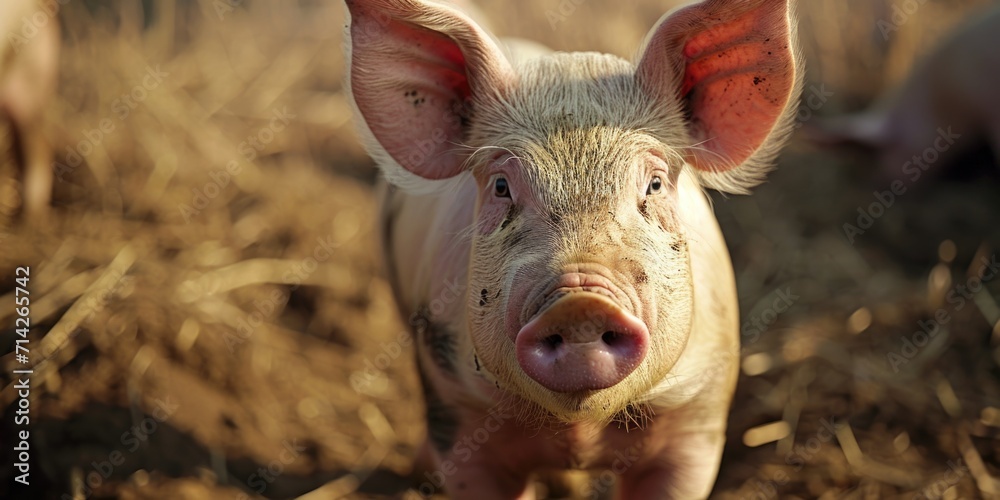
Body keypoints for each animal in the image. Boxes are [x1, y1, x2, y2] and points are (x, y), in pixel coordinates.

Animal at [345, 0, 802, 497]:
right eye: (502, 186)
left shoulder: (698, 420)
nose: (580, 301)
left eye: (655, 184)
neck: (578, 428)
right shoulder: (457, 412)